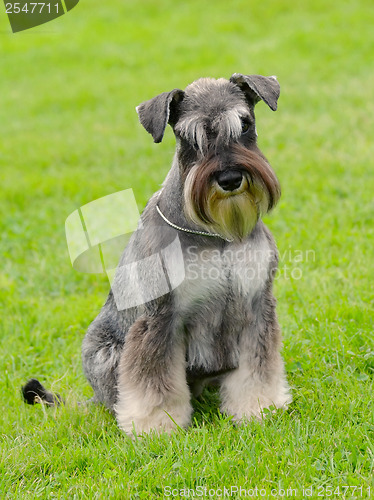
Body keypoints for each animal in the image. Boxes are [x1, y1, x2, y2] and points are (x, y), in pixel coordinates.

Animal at [22, 73, 292, 434]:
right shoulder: (160, 318)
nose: (230, 178)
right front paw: (155, 426)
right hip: (102, 349)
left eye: (245, 124)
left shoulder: (256, 305)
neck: (216, 234)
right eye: (188, 138)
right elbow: (153, 379)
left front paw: (259, 408)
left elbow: (258, 367)